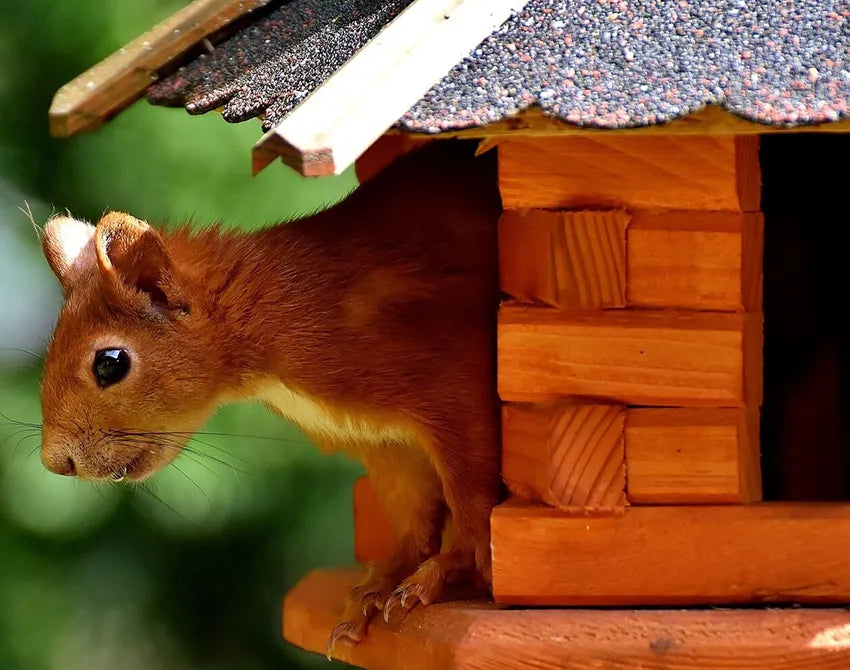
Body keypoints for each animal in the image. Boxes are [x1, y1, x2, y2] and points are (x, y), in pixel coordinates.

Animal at [39, 140, 500, 652]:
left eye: (110, 363)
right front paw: (381, 584)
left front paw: (444, 572)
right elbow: (415, 519)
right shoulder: (386, 445)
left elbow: (473, 505)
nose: (55, 462)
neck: (261, 315)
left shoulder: (452, 390)